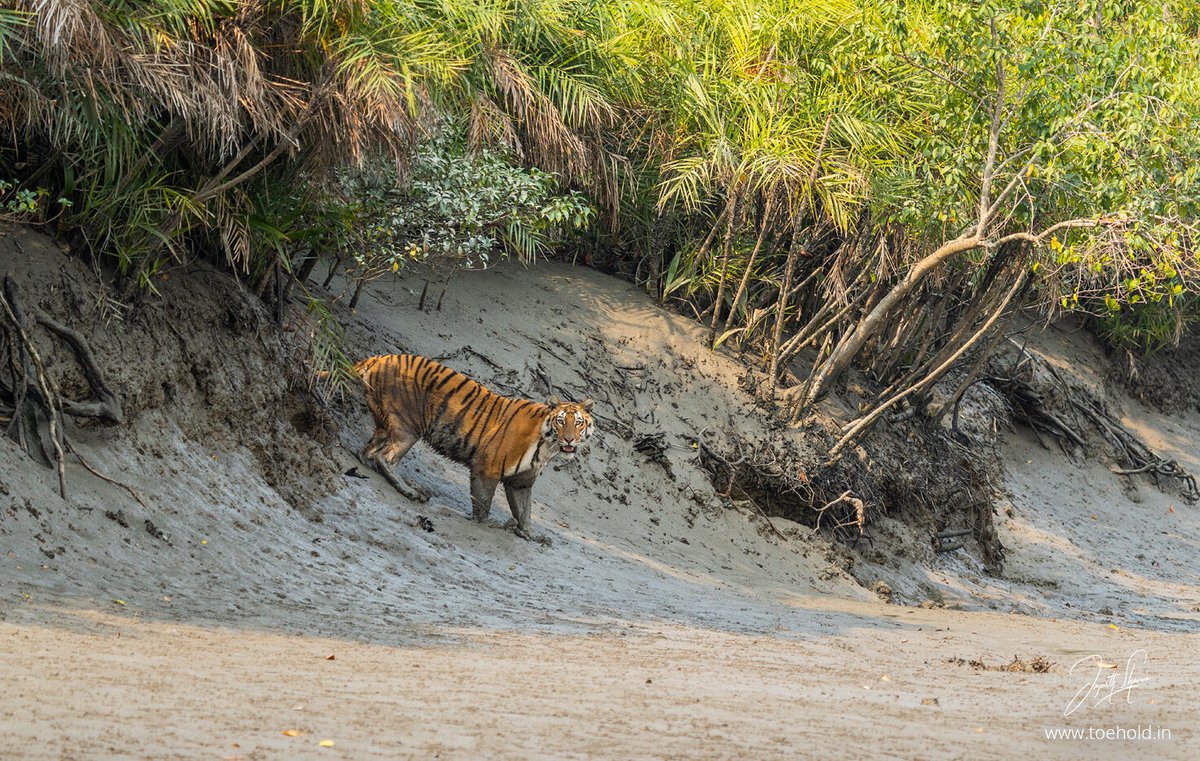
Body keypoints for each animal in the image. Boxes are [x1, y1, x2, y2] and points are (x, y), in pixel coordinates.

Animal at [345, 354, 594, 541]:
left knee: (367, 452)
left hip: (385, 424)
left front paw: (530, 534)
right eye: (561, 421)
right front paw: (487, 522)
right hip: (407, 426)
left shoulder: (521, 482)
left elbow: (525, 511)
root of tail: (380, 357)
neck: (547, 447)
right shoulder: (487, 468)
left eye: (578, 423)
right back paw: (410, 491)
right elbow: (484, 501)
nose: (569, 440)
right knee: (386, 457)